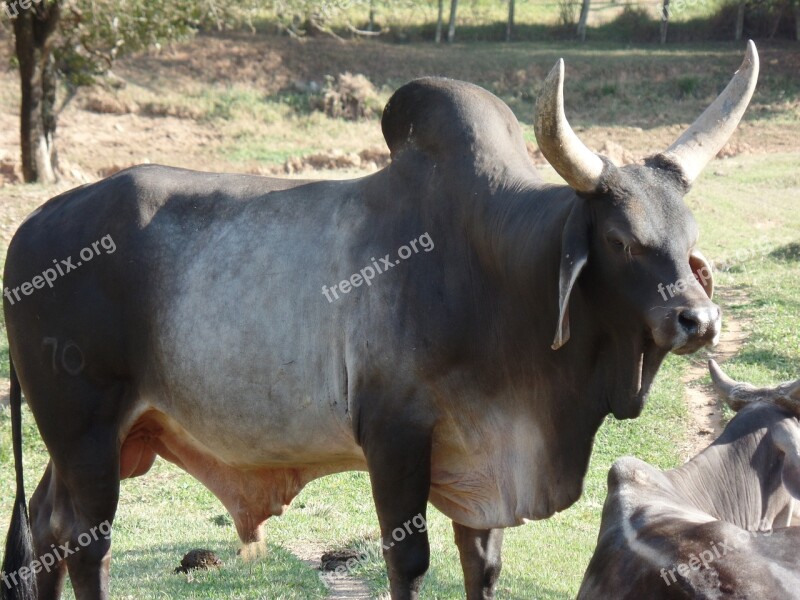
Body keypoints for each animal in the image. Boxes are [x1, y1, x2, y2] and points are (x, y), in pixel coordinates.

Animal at [1, 43, 756, 600]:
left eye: (688, 233)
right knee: (85, 544)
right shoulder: (396, 437)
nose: (697, 320)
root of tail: (32, 227)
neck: (498, 272)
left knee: (43, 531)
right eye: (622, 240)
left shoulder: (480, 467)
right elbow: (409, 561)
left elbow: (481, 563)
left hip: (96, 440)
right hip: (84, 431)